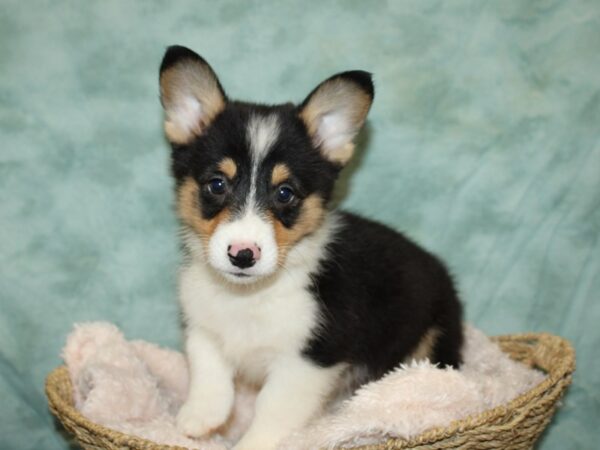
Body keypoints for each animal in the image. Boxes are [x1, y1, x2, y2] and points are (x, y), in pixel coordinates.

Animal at [158, 45, 464, 450]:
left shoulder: (307, 362)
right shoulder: (201, 326)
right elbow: (209, 370)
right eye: (217, 184)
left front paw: (250, 443)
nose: (243, 255)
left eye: (285, 193)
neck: (249, 296)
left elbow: (271, 411)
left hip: (433, 338)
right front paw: (198, 419)